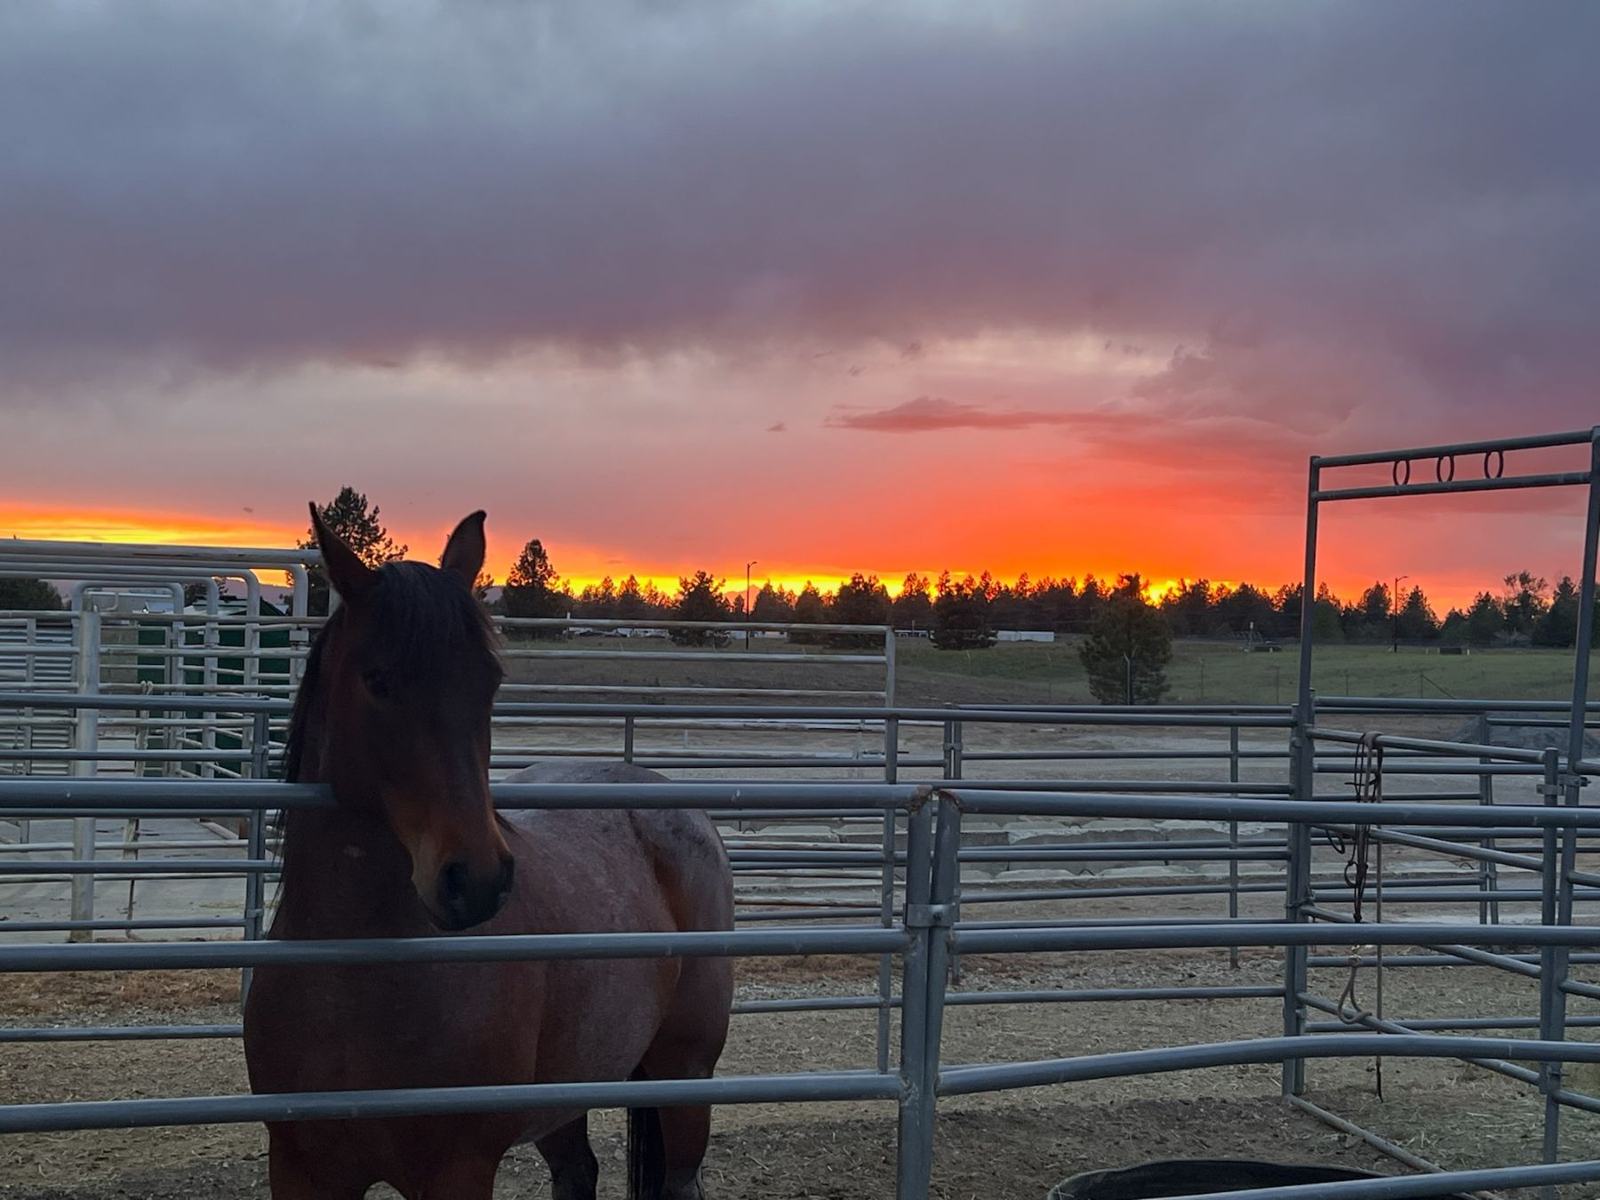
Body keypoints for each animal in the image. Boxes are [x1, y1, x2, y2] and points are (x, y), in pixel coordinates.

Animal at [242, 507, 734, 1200]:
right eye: (377, 679)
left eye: (490, 680)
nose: (474, 879)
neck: (354, 979)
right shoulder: (302, 1169)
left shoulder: (459, 1169)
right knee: (577, 1172)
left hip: (683, 1073)